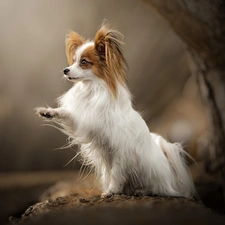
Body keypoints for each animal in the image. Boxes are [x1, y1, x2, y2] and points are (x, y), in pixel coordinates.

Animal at [35, 22, 195, 198]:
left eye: (83, 62)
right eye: (74, 61)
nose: (65, 70)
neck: (92, 90)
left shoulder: (120, 149)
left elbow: (117, 173)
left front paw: (112, 191)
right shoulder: (85, 121)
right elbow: (67, 113)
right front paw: (48, 112)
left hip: (150, 172)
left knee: (158, 189)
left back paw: (142, 190)